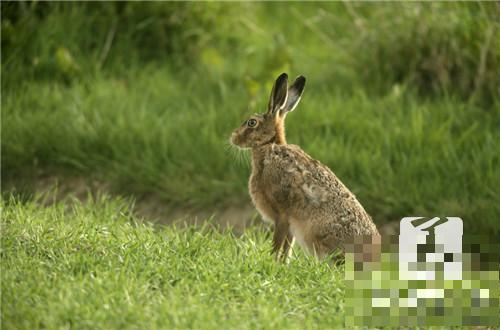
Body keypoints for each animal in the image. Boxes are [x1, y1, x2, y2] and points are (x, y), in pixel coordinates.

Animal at [231, 73, 378, 262]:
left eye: (251, 122)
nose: (233, 138)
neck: (270, 146)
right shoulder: (291, 224)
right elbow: (287, 247)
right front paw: (283, 264)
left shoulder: (282, 215)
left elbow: (277, 244)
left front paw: (271, 262)